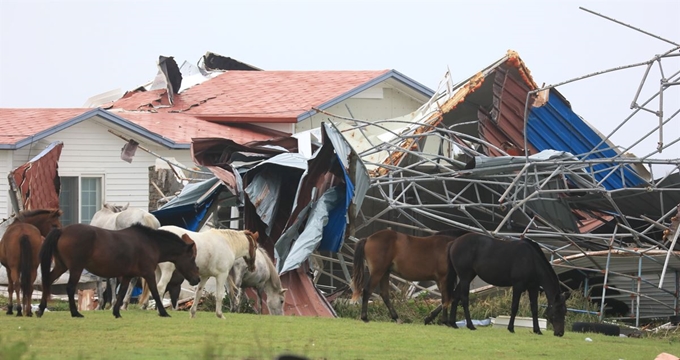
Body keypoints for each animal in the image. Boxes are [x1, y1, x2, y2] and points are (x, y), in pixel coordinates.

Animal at [36, 224, 201, 320]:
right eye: (192, 258)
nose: (197, 279)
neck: (150, 243)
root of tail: (63, 230)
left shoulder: (127, 276)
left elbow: (121, 293)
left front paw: (116, 312)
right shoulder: (148, 273)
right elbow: (154, 292)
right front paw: (163, 312)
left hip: (61, 266)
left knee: (48, 281)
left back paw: (40, 310)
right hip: (75, 268)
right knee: (70, 288)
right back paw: (75, 313)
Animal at [444, 233, 572, 338]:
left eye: (565, 311)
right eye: (557, 311)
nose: (560, 333)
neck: (531, 259)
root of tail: (454, 242)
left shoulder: (533, 288)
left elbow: (534, 308)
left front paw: (537, 330)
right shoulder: (518, 286)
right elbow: (514, 307)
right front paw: (511, 328)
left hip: (468, 276)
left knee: (456, 296)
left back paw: (453, 323)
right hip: (465, 277)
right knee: (464, 298)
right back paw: (470, 325)